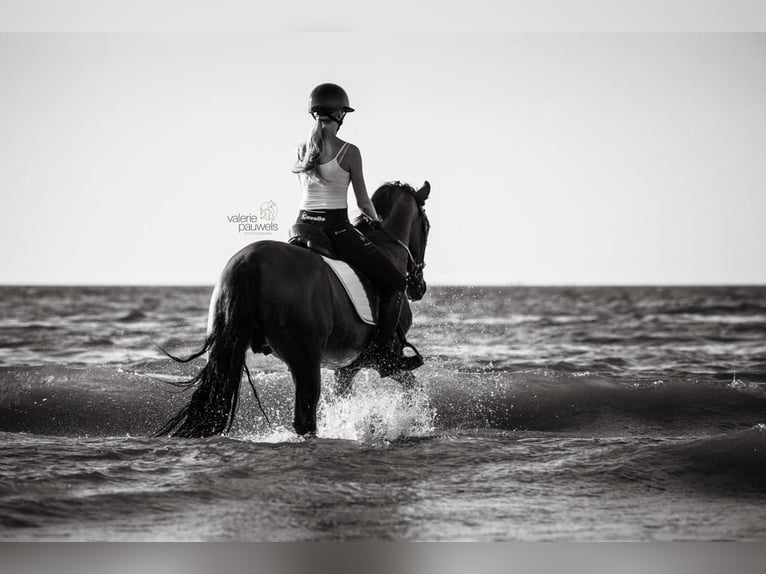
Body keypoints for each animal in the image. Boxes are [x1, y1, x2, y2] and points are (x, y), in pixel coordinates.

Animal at [156, 182, 432, 438]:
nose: (418, 287)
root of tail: (250, 261)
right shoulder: (376, 361)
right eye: (427, 226)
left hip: (233, 345)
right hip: (305, 359)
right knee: (305, 419)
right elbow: (413, 389)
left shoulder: (345, 367)